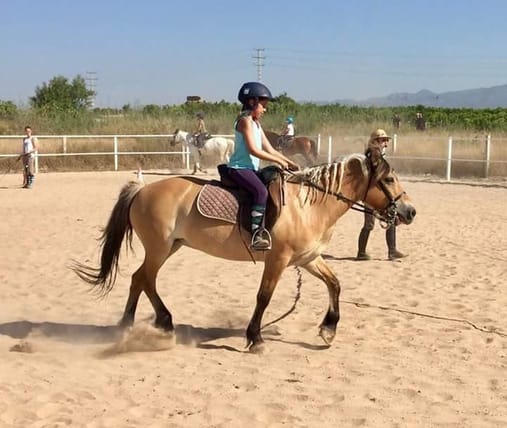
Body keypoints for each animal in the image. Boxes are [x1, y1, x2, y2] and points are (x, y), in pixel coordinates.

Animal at [72, 150, 416, 354]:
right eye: (388, 178)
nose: (409, 212)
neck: (308, 205)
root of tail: (143, 189)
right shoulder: (278, 259)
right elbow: (264, 297)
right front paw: (255, 338)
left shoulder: (308, 259)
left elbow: (335, 284)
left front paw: (328, 330)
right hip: (159, 248)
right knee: (145, 279)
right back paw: (152, 323)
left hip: (169, 247)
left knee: (139, 279)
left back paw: (135, 325)